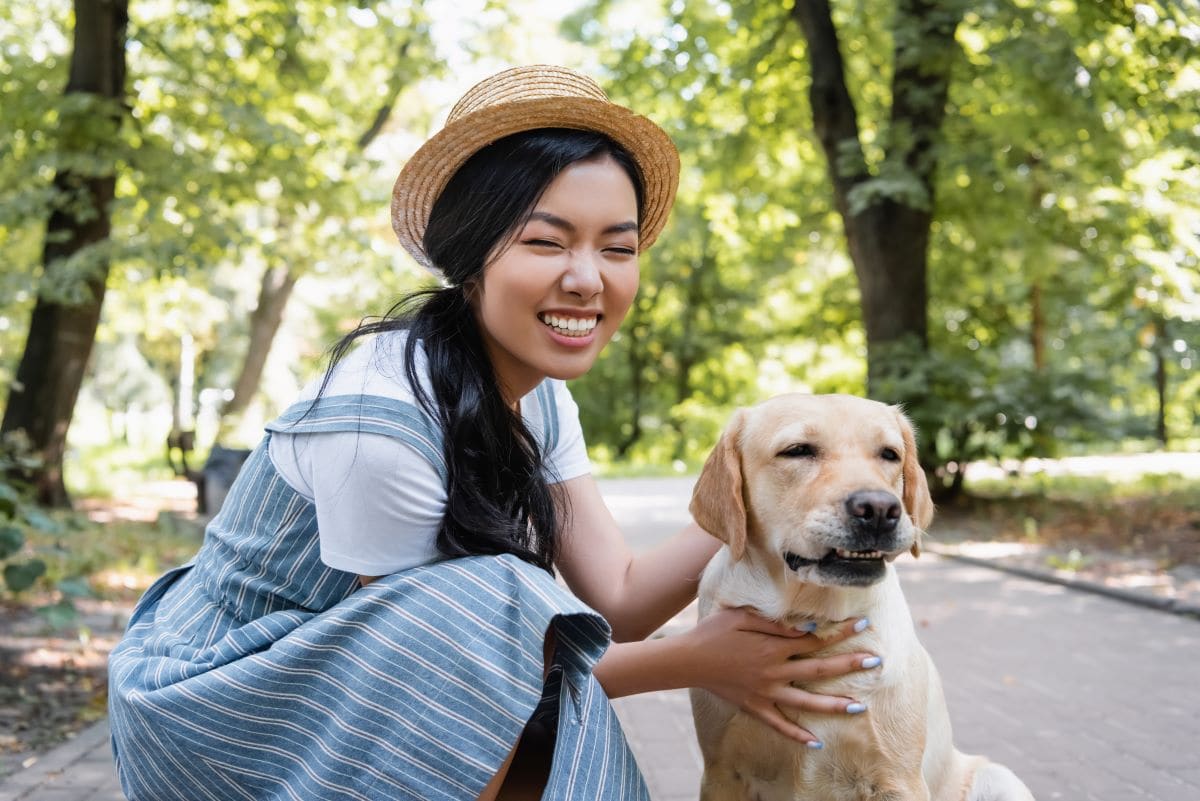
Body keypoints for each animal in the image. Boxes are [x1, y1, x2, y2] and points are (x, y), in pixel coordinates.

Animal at [691, 393, 1036, 801]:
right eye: (798, 451)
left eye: (889, 454)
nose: (880, 509)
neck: (814, 621)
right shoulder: (721, 772)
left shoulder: (897, 778)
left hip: (997, 778)